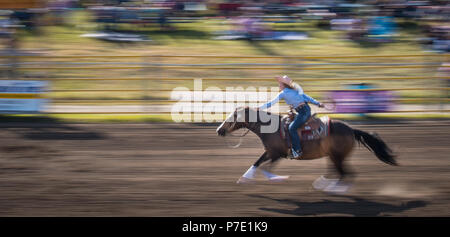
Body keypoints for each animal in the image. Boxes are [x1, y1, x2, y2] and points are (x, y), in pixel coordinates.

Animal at [216, 106, 396, 193]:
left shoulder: (278, 154)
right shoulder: (270, 152)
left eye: (234, 116)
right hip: (333, 156)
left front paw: (278, 178)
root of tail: (351, 130)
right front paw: (244, 178)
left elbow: (267, 168)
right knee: (338, 172)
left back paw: (334, 189)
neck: (271, 128)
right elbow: (257, 163)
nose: (219, 130)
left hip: (338, 156)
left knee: (345, 174)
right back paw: (323, 184)